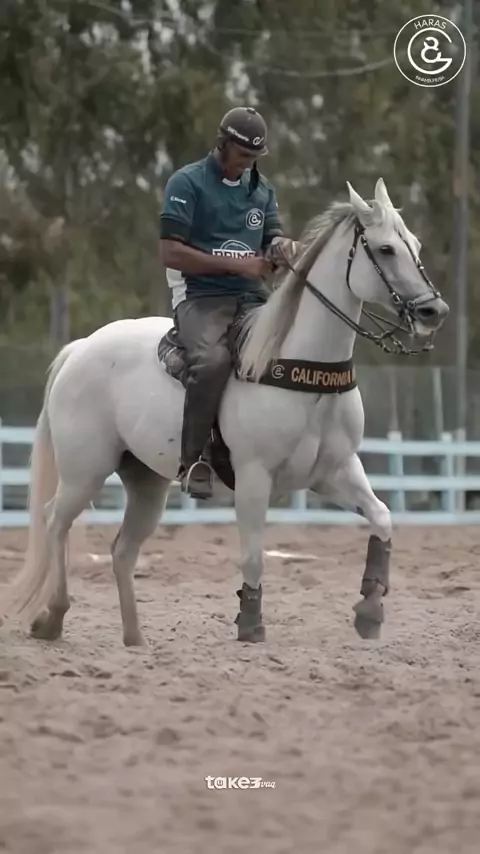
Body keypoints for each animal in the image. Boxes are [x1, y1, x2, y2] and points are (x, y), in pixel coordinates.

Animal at [1, 178, 448, 646]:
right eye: (385, 249)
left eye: (415, 244)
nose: (434, 311)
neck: (302, 371)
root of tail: (80, 348)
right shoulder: (253, 477)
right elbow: (253, 555)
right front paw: (250, 623)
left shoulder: (336, 472)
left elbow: (382, 517)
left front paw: (370, 609)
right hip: (84, 471)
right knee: (55, 521)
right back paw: (52, 616)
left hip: (145, 483)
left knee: (122, 550)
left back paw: (135, 638)